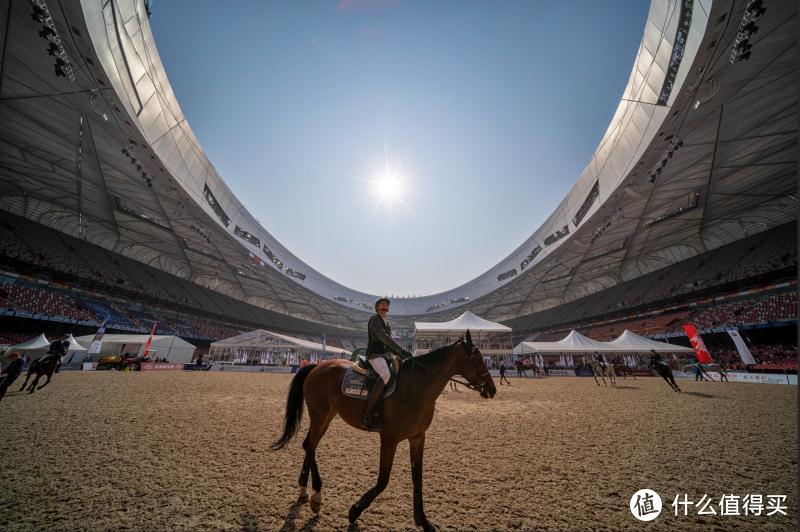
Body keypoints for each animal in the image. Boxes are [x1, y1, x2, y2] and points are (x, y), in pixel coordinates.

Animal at [270, 330, 494, 528]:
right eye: (477, 359)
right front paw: (354, 511)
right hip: (319, 415)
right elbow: (383, 480)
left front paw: (423, 521)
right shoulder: (389, 438)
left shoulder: (418, 437)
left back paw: (307, 492)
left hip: (327, 416)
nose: (492, 390)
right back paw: (314, 495)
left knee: (310, 445)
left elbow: (417, 478)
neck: (415, 388)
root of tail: (317, 366)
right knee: (310, 445)